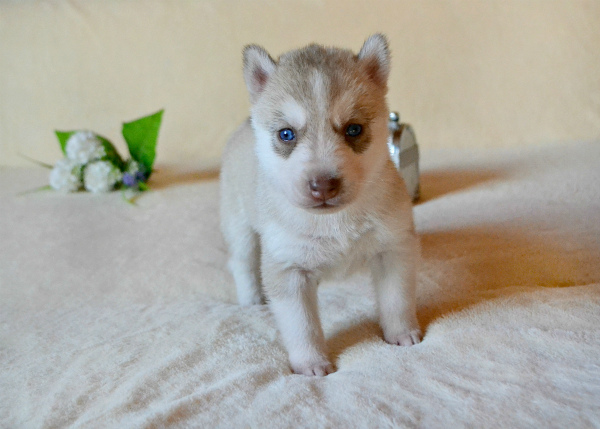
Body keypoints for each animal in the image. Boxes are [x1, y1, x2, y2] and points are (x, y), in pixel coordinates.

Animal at [220, 34, 421, 376]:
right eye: (286, 134)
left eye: (353, 129)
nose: (323, 185)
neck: (335, 220)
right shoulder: (289, 268)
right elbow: (302, 325)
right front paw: (310, 363)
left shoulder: (393, 249)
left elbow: (397, 299)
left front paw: (402, 333)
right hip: (239, 224)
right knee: (242, 261)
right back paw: (252, 298)